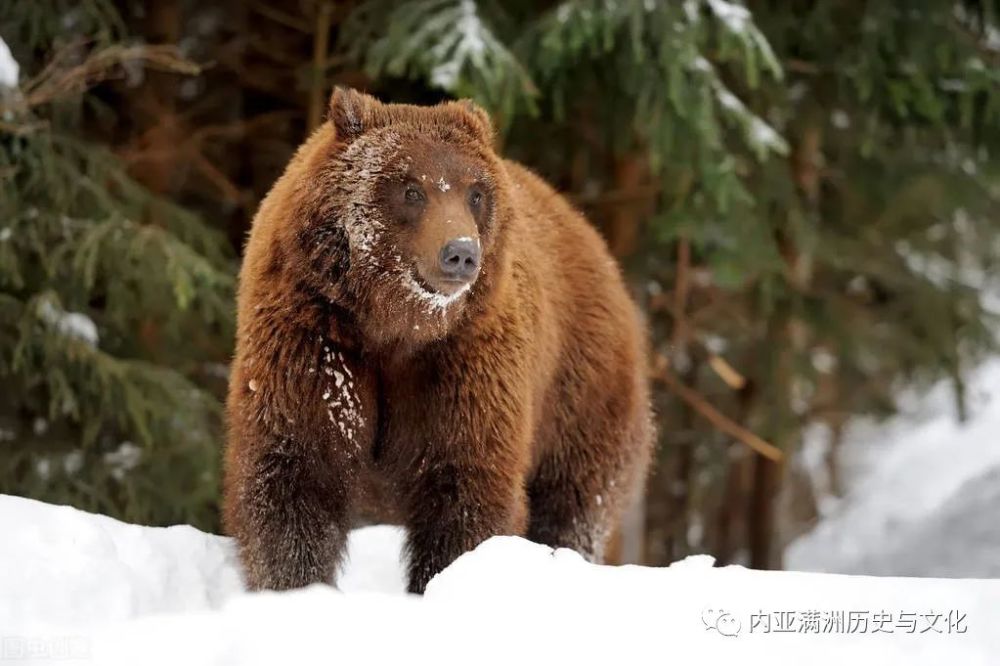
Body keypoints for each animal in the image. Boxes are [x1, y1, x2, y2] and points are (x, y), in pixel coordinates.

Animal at [223, 88, 652, 592]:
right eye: (412, 189)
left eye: (475, 192)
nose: (461, 253)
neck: (395, 325)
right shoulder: (315, 342)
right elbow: (295, 476)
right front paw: (297, 587)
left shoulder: (462, 364)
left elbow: (465, 491)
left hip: (580, 396)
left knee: (573, 505)